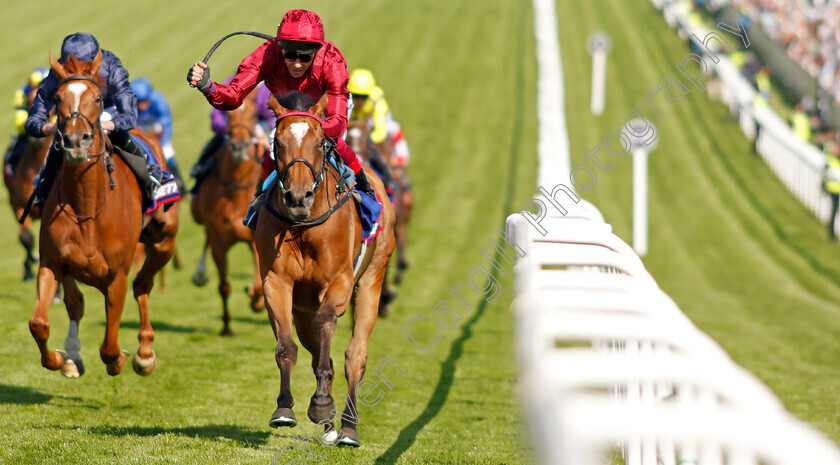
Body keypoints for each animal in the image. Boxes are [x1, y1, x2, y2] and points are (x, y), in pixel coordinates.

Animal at [191, 89, 264, 334]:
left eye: (254, 115)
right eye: (229, 117)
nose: (240, 146)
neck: (236, 189)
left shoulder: (256, 239)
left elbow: (259, 282)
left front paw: (257, 301)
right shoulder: (218, 242)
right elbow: (223, 286)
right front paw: (226, 326)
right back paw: (199, 274)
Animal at [256, 91, 398, 446]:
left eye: (320, 142)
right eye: (278, 143)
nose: (298, 197)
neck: (304, 227)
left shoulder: (340, 282)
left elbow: (328, 324)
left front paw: (321, 404)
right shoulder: (276, 282)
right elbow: (286, 347)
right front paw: (286, 408)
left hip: (372, 280)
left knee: (354, 355)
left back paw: (347, 426)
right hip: (302, 309)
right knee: (319, 348)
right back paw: (331, 423)